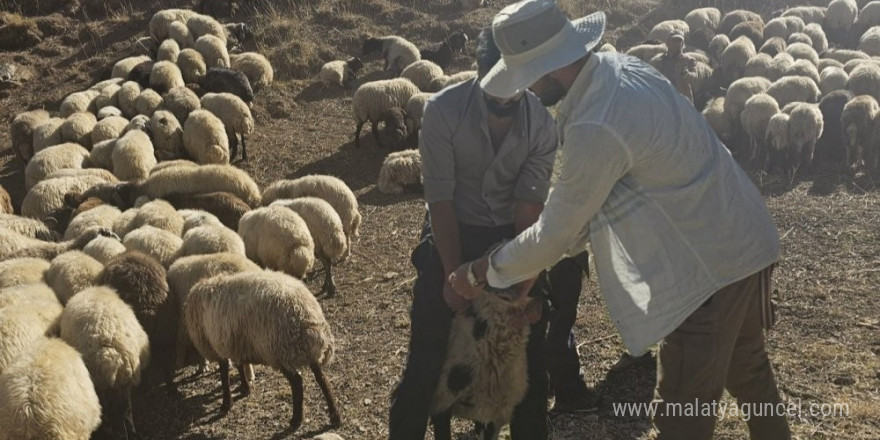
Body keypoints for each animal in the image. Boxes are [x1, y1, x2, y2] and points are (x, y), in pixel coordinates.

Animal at [58, 288, 149, 438]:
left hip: (99, 380)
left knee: (106, 408)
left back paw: (109, 429)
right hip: (127, 380)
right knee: (125, 408)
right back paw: (130, 430)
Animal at [184, 270, 338, 432]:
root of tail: (308, 315)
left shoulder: (218, 345)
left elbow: (224, 374)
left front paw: (226, 404)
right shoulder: (236, 343)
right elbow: (239, 365)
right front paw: (245, 388)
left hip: (281, 350)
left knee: (297, 382)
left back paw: (296, 420)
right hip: (304, 351)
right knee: (321, 378)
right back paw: (335, 417)